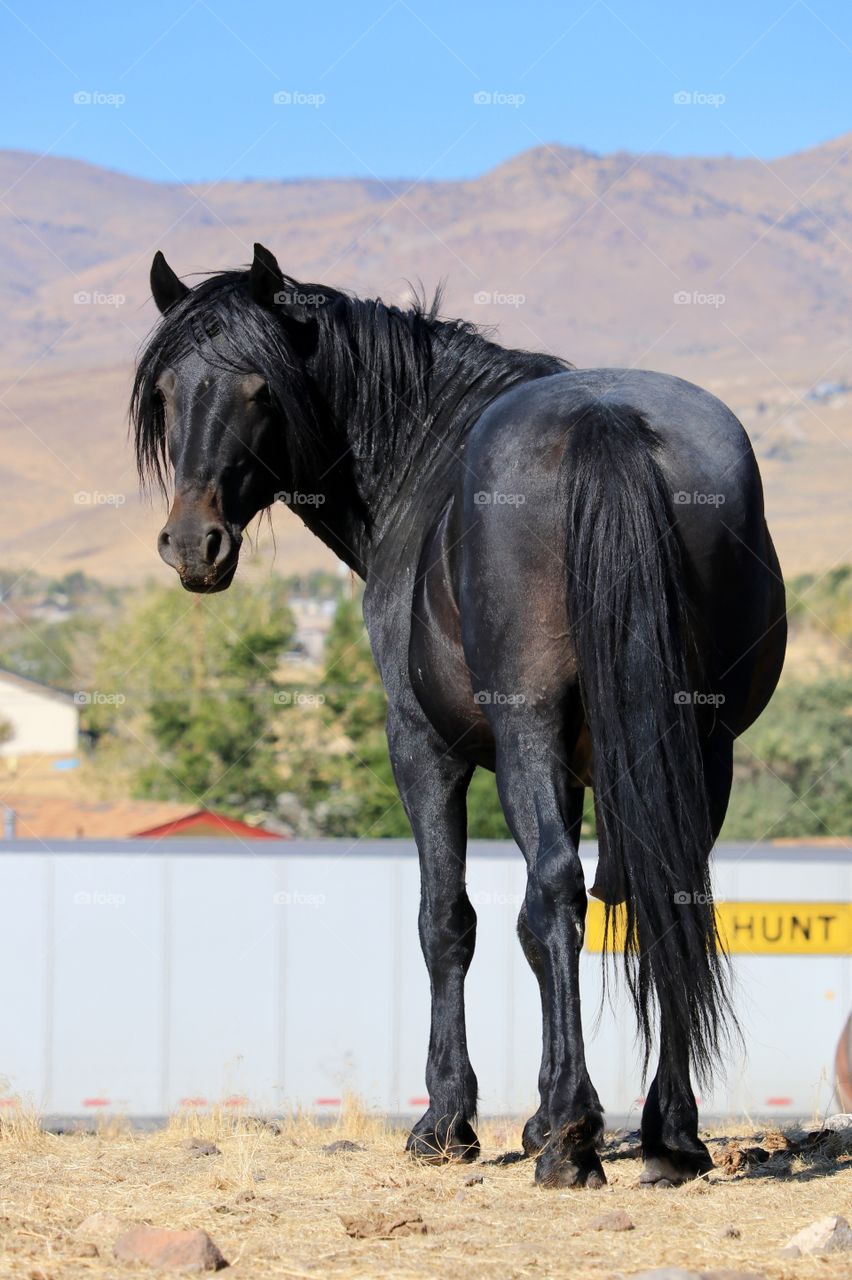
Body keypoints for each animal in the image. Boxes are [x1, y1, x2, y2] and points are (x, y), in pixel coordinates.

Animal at [132, 243, 786, 1189]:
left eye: (261, 389)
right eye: (168, 391)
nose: (194, 545)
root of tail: (608, 421)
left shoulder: (423, 747)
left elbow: (448, 920)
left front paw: (451, 1119)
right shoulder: (586, 767)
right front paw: (537, 1116)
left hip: (527, 734)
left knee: (554, 891)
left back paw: (572, 1139)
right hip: (703, 745)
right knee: (668, 896)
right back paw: (669, 1135)